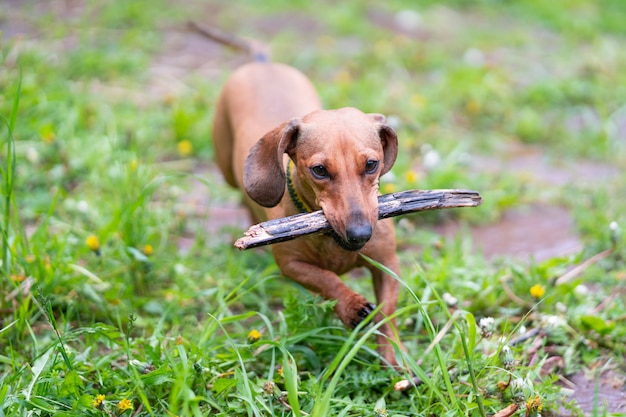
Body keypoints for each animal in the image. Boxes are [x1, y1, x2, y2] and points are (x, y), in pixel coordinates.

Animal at [197, 24, 408, 366]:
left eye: (371, 164)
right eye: (319, 170)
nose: (360, 234)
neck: (332, 241)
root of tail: (262, 63)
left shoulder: (387, 262)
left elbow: (387, 315)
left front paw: (395, 359)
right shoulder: (292, 266)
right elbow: (327, 281)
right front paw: (351, 305)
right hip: (227, 167)